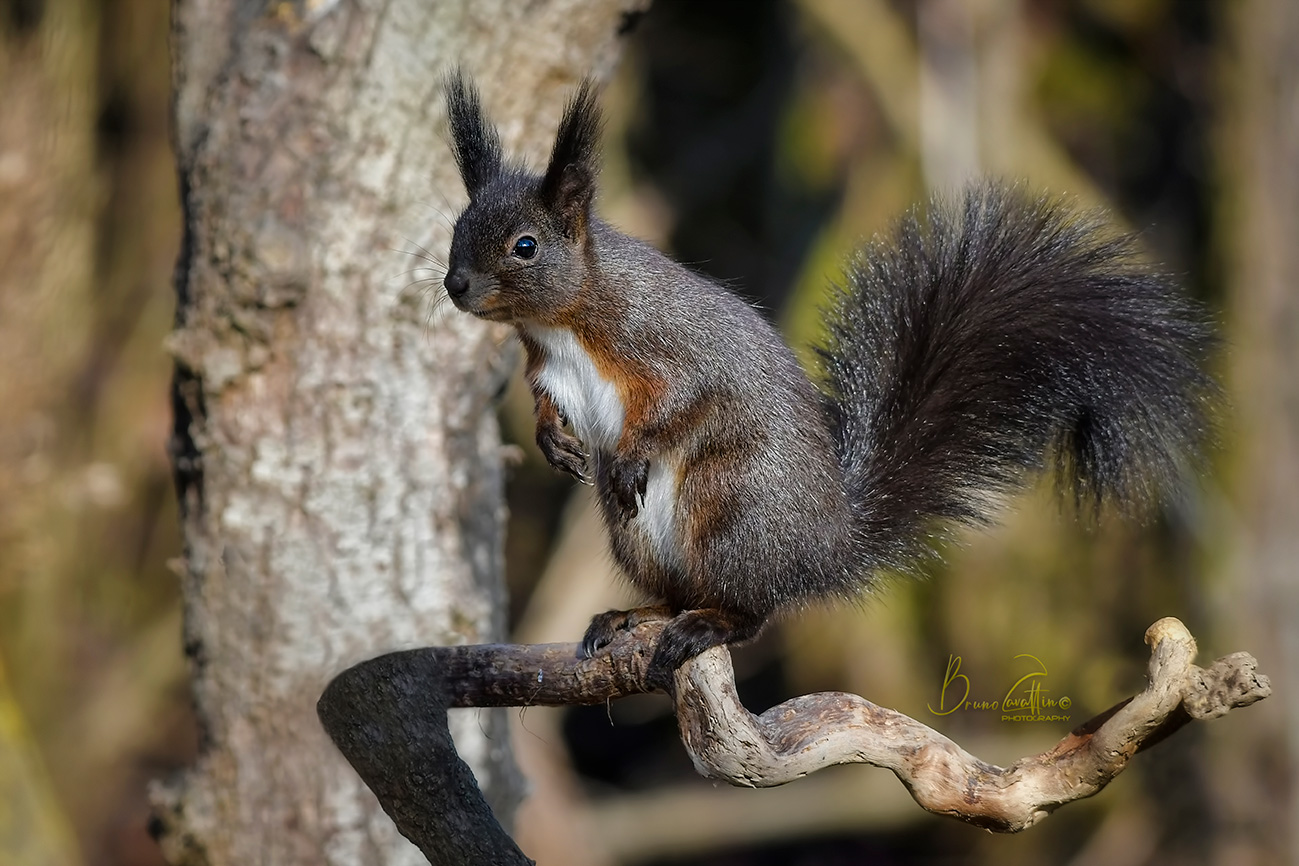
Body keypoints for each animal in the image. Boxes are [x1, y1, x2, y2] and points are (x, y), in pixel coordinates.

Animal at [440, 73, 1214, 691]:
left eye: (525, 246)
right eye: (456, 229)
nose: (455, 284)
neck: (562, 320)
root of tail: (826, 548)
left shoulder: (664, 342)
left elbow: (685, 401)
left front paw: (630, 453)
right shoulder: (548, 368)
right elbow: (547, 403)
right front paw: (553, 441)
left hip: (731, 508)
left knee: (749, 610)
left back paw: (706, 622)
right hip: (639, 537)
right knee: (677, 591)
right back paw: (637, 612)